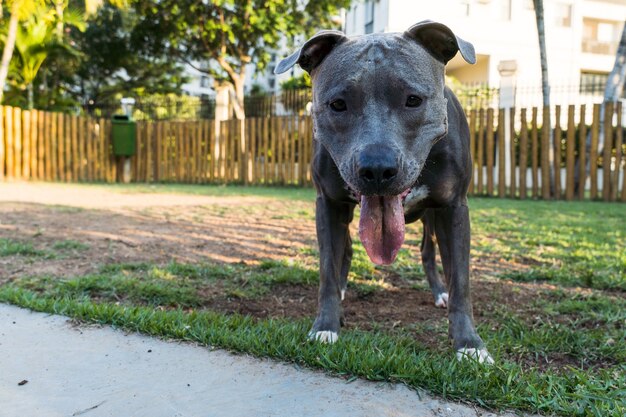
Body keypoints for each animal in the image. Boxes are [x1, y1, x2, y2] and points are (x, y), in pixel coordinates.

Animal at [274, 21, 492, 362]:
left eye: (413, 100)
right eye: (338, 104)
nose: (377, 169)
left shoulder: (454, 208)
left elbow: (461, 282)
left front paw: (469, 344)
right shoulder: (329, 204)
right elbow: (327, 272)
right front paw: (325, 326)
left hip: (432, 218)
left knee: (428, 252)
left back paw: (439, 292)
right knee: (346, 251)